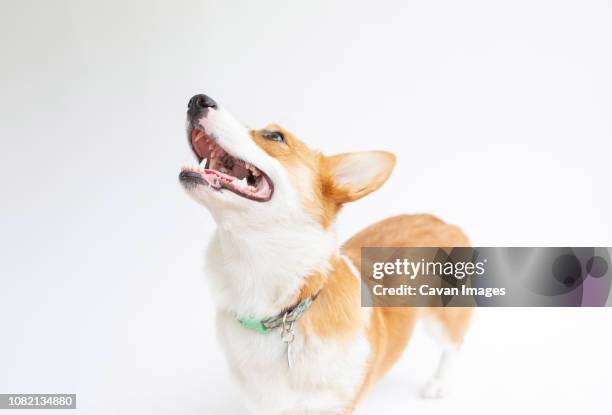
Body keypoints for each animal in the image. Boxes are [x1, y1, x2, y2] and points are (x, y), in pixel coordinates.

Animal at [178, 94, 474, 415]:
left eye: (275, 136)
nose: (197, 100)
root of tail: (441, 221)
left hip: (443, 315)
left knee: (453, 345)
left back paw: (439, 383)